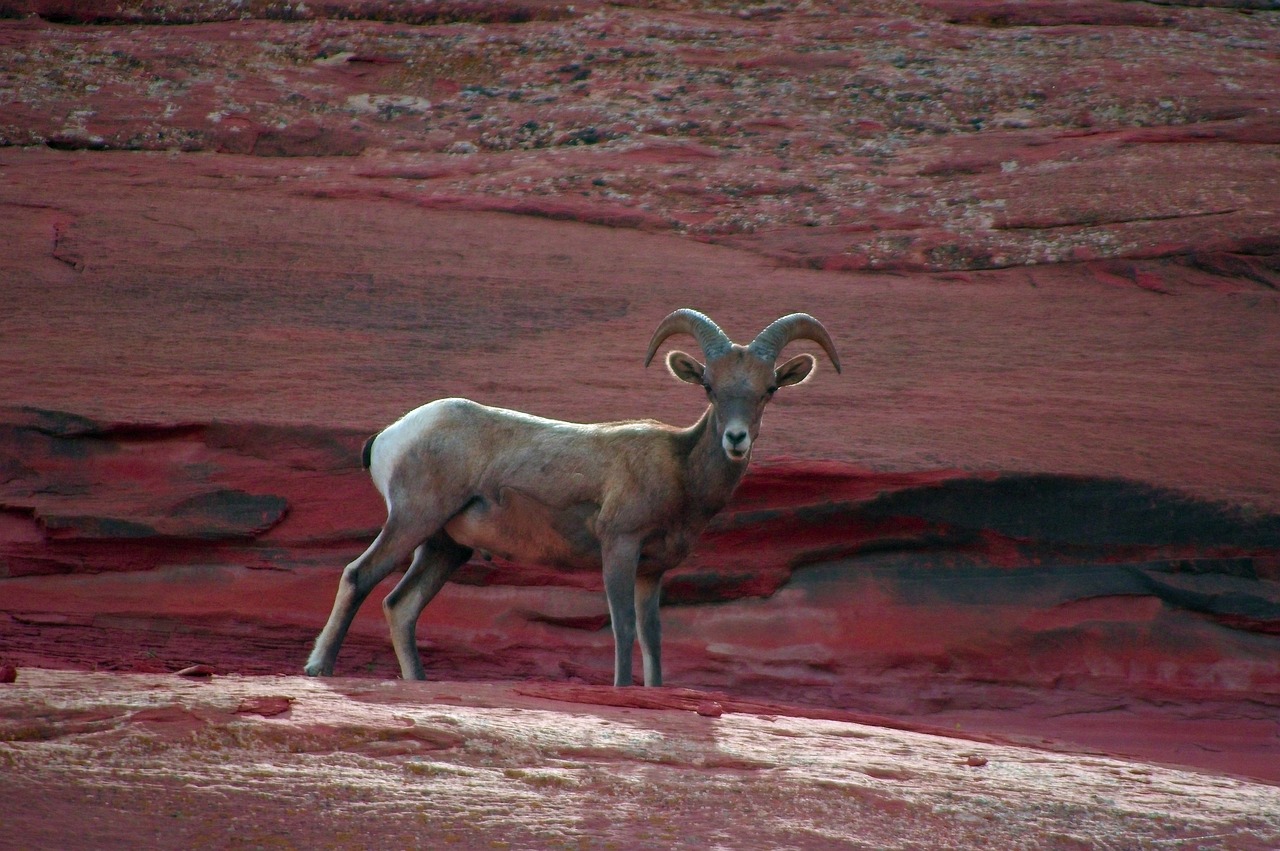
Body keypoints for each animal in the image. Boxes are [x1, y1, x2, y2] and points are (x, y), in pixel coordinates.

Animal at [305, 307, 844, 685]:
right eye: (709, 386)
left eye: (769, 389)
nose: (736, 439)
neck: (681, 471)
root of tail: (390, 436)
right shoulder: (619, 548)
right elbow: (623, 629)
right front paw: (622, 691)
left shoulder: (652, 572)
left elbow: (652, 639)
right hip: (412, 521)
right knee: (359, 576)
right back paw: (319, 669)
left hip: (444, 547)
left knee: (401, 606)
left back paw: (416, 680)